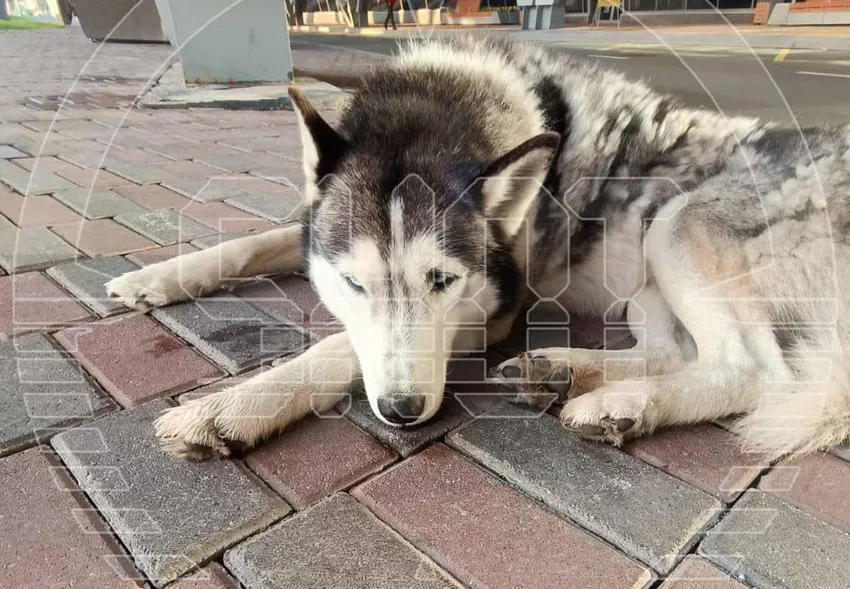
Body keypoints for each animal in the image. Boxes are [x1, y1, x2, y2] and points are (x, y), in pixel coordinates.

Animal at [106, 36, 848, 462]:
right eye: (352, 284)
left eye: (443, 281)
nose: (402, 412)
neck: (448, 105)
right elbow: (253, 241)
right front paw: (155, 276)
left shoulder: (491, 309)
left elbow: (338, 347)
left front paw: (229, 407)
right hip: (646, 278)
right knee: (673, 350)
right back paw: (566, 372)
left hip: (675, 227)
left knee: (753, 368)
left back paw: (620, 403)